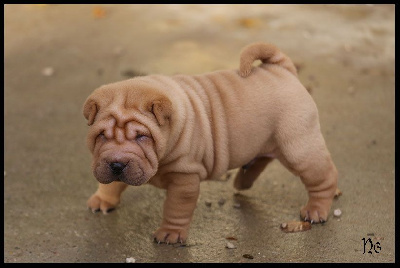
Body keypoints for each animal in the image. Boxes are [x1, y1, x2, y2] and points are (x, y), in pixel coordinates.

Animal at [83, 41, 338, 243]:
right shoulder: (105, 160)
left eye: (141, 137)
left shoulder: (185, 177)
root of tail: (282, 69)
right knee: (261, 158)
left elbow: (176, 207)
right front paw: (103, 199)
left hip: (299, 147)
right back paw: (243, 180)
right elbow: (111, 183)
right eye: (101, 136)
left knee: (323, 177)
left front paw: (170, 234)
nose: (117, 164)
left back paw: (316, 210)